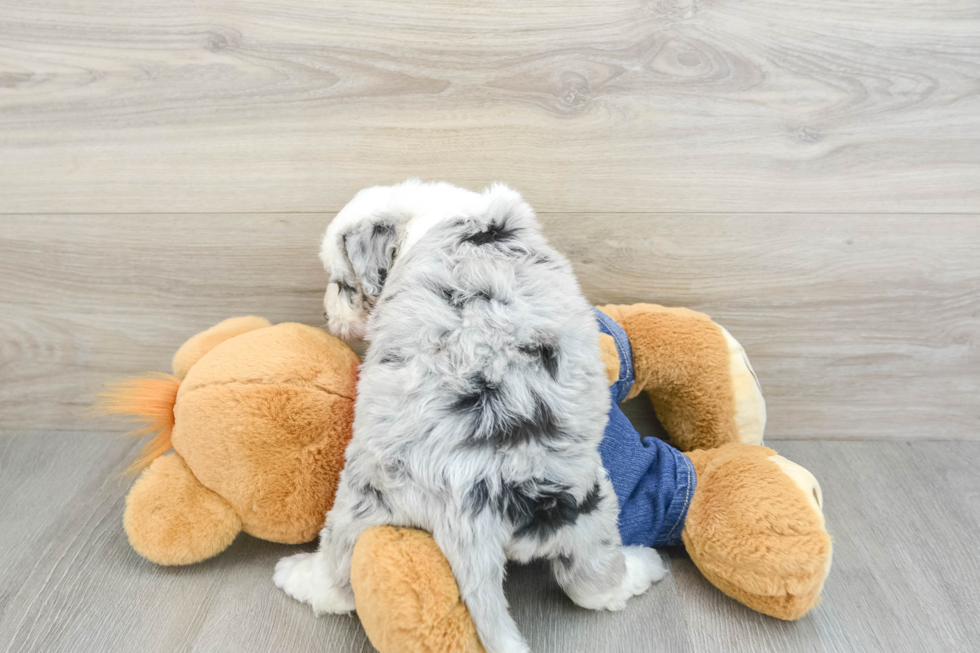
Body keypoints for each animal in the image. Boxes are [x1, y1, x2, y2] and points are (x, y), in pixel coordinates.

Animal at [274, 180, 668, 652]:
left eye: (342, 284)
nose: (327, 316)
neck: (432, 215)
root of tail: (466, 503)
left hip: (363, 509)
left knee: (337, 580)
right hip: (592, 508)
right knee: (593, 586)